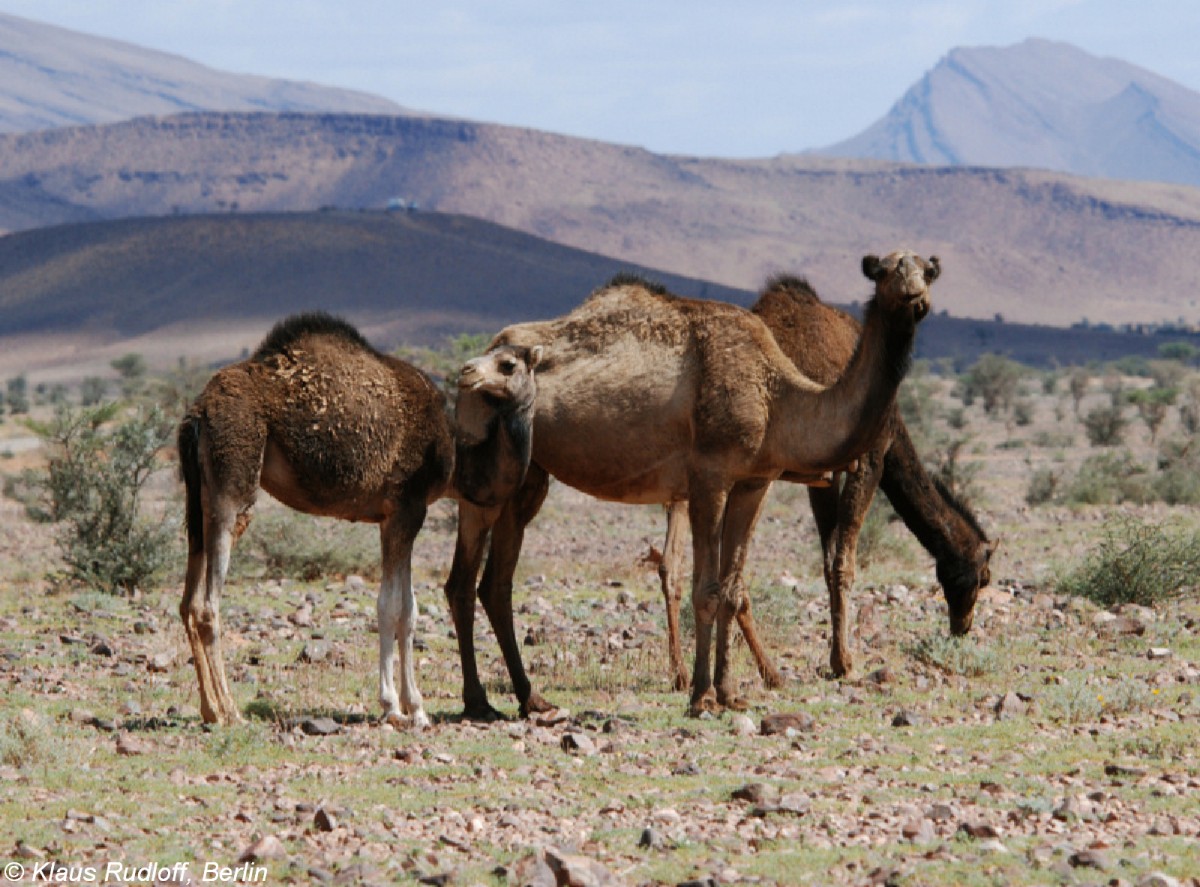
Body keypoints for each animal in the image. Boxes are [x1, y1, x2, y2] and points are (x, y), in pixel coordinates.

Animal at [175, 312, 537, 729]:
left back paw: (210, 709)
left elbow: (404, 608)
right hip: (234, 475)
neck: (455, 454)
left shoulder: (392, 515)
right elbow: (394, 608)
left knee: (188, 602)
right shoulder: (408, 507)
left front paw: (409, 706)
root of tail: (197, 412)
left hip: (197, 497)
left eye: (507, 363)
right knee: (208, 605)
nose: (467, 371)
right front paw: (400, 707)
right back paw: (231, 711)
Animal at [446, 252, 940, 720]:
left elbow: (732, 590)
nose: (915, 296)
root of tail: (479, 357)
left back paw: (531, 699)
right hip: (485, 471)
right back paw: (479, 702)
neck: (777, 395)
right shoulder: (709, 477)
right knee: (463, 581)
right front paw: (701, 695)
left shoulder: (753, 482)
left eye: (928, 270)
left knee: (495, 584)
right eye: (887, 269)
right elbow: (706, 589)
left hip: (529, 476)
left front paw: (730, 693)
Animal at [657, 273, 993, 691]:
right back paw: (763, 672)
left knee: (671, 563)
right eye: (982, 578)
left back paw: (686, 673)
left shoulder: (820, 478)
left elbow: (827, 556)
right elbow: (842, 561)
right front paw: (844, 662)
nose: (962, 627)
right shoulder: (867, 459)